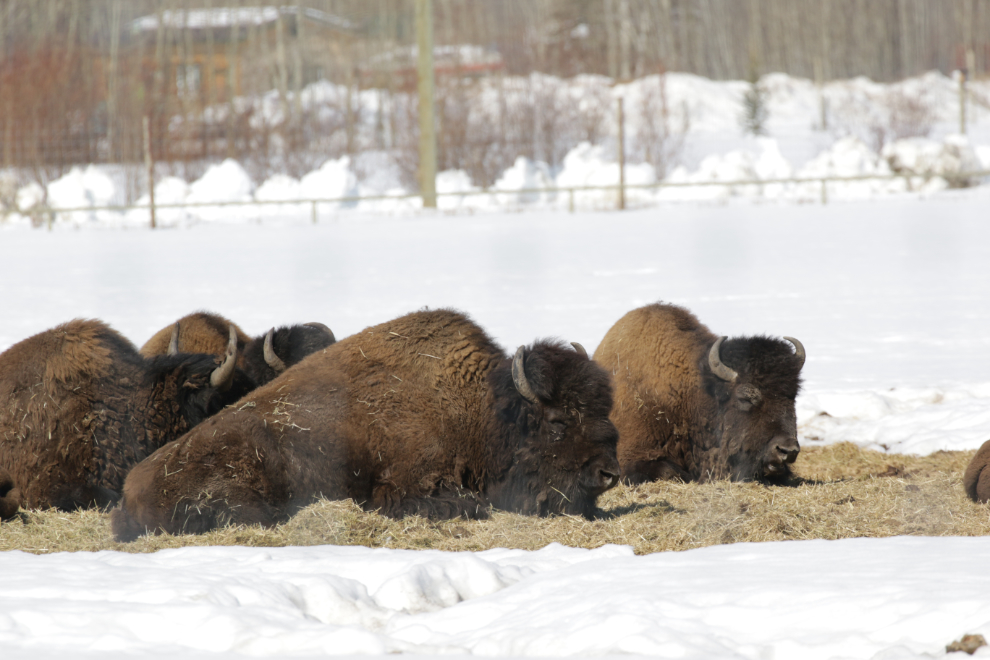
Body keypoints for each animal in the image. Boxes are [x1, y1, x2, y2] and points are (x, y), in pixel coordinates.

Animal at [111, 308, 619, 540]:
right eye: (557, 421)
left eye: (605, 411)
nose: (609, 473)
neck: (483, 409)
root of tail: (129, 490)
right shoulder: (403, 485)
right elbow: (469, 505)